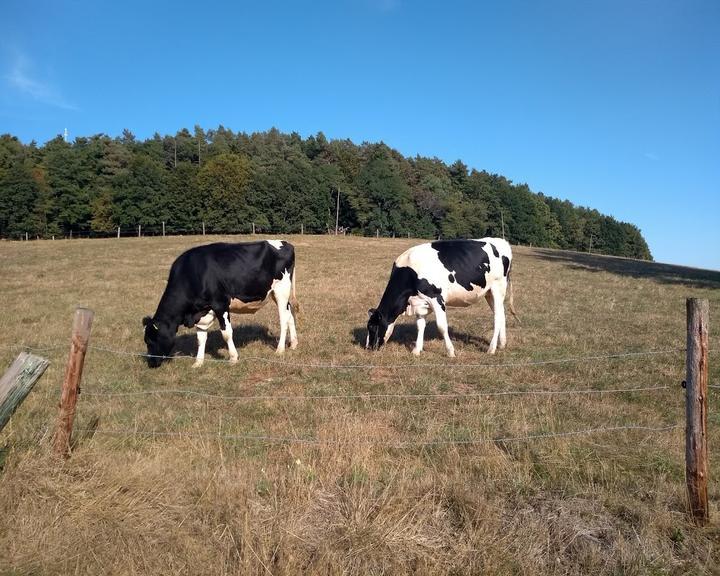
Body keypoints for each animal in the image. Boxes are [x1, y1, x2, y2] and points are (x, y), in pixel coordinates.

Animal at [142, 240, 300, 368]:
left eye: (150, 341)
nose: (151, 363)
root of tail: (286, 243)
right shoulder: (201, 312)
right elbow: (200, 338)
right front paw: (198, 362)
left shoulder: (220, 304)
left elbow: (226, 333)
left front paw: (233, 358)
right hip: (277, 294)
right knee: (290, 314)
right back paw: (293, 344)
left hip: (281, 290)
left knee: (283, 319)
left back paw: (280, 350)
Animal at [368, 237, 516, 356]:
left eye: (372, 327)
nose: (368, 348)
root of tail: (502, 241)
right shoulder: (420, 302)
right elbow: (420, 325)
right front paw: (416, 350)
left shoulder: (436, 298)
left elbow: (442, 326)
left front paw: (450, 352)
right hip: (489, 293)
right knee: (501, 314)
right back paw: (502, 344)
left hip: (498, 287)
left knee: (497, 317)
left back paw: (491, 349)